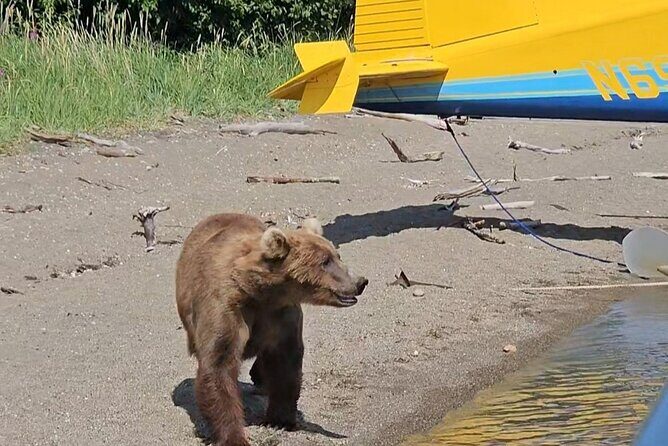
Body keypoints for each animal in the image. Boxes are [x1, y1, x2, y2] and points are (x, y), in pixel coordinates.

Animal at [175, 213, 368, 446]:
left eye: (337, 256)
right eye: (325, 261)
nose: (360, 282)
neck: (262, 292)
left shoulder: (280, 315)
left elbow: (284, 361)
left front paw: (280, 419)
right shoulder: (225, 307)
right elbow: (219, 364)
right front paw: (234, 435)